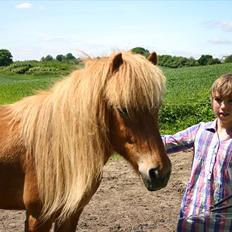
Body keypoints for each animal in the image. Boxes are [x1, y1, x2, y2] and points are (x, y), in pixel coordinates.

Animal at [0, 50, 170, 230]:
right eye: (123, 109)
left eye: (157, 107)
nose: (160, 173)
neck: (59, 147)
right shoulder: (38, 217)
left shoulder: (71, 213)